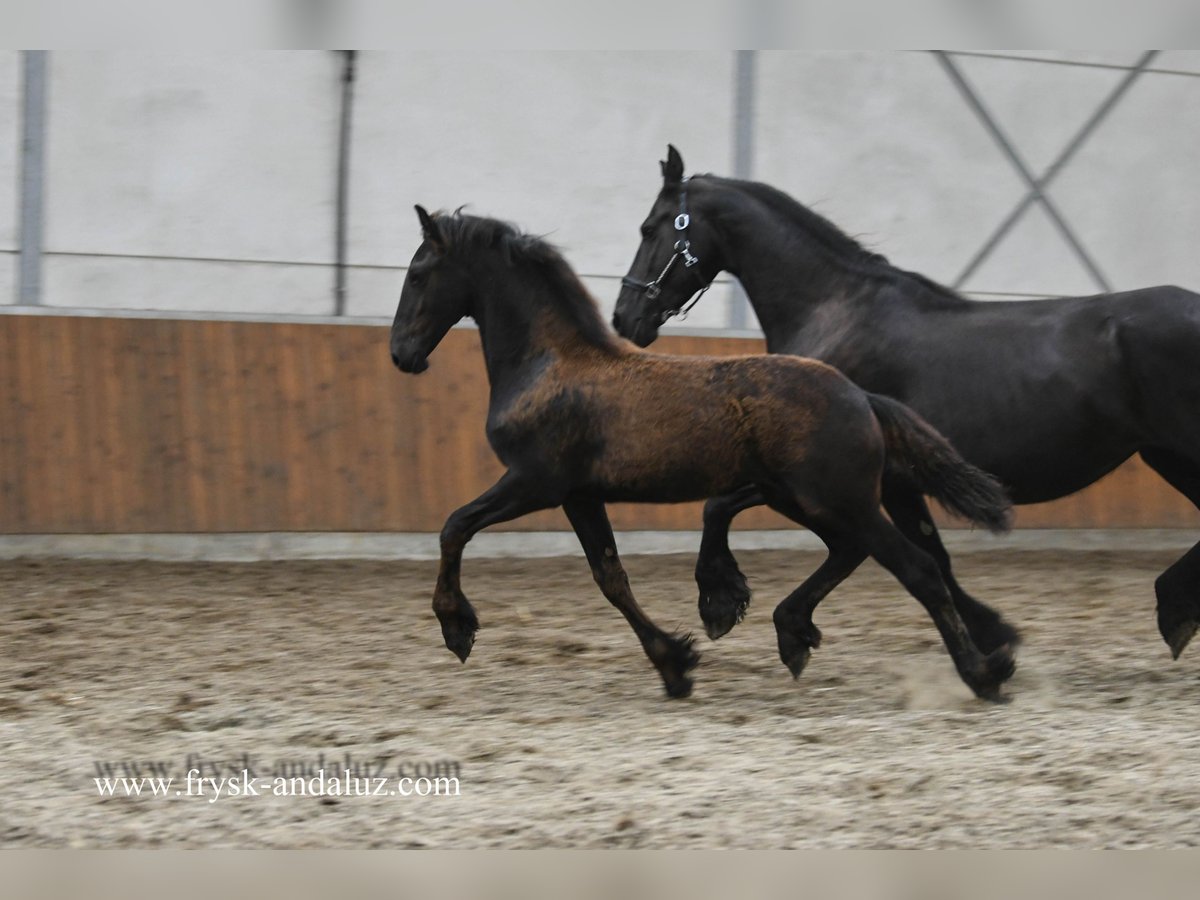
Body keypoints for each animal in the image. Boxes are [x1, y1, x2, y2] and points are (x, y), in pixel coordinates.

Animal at [389, 205, 1017, 701]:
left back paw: (984, 673)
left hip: (836, 498)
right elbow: (610, 577)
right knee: (850, 551)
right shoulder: (579, 495)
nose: (401, 354)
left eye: (418, 274)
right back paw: (792, 633)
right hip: (800, 498)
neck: (547, 365)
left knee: (918, 569)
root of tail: (861, 395)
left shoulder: (533, 482)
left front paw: (457, 628)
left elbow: (454, 526)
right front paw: (676, 664)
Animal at [613, 144, 1200, 662]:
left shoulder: (839, 476)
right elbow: (923, 554)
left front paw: (723, 603)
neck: (834, 314)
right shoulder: (890, 481)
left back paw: (1173, 610)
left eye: (649, 229)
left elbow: (730, 508)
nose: (623, 319)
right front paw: (994, 636)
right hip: (1167, 455)